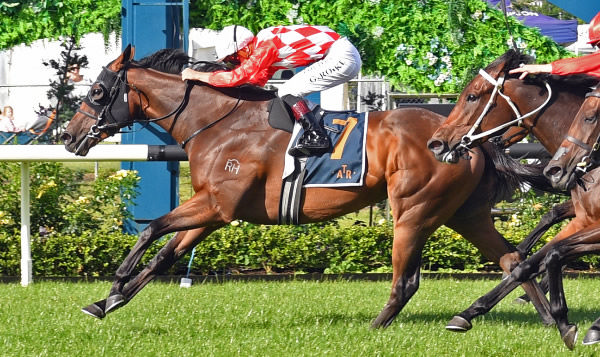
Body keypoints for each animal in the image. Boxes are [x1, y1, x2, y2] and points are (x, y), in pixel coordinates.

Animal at [59, 46, 552, 328]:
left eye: (99, 92)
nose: (68, 135)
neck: (217, 123)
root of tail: (465, 138)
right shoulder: (213, 209)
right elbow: (163, 254)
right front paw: (106, 303)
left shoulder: (216, 206)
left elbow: (150, 229)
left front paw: (116, 280)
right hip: (463, 212)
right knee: (512, 260)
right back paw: (543, 320)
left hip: (415, 209)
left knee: (407, 279)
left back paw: (374, 327)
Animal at [424, 50, 600, 348]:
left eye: (472, 96)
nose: (436, 143)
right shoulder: (583, 218)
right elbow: (536, 257)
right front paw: (468, 313)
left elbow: (550, 252)